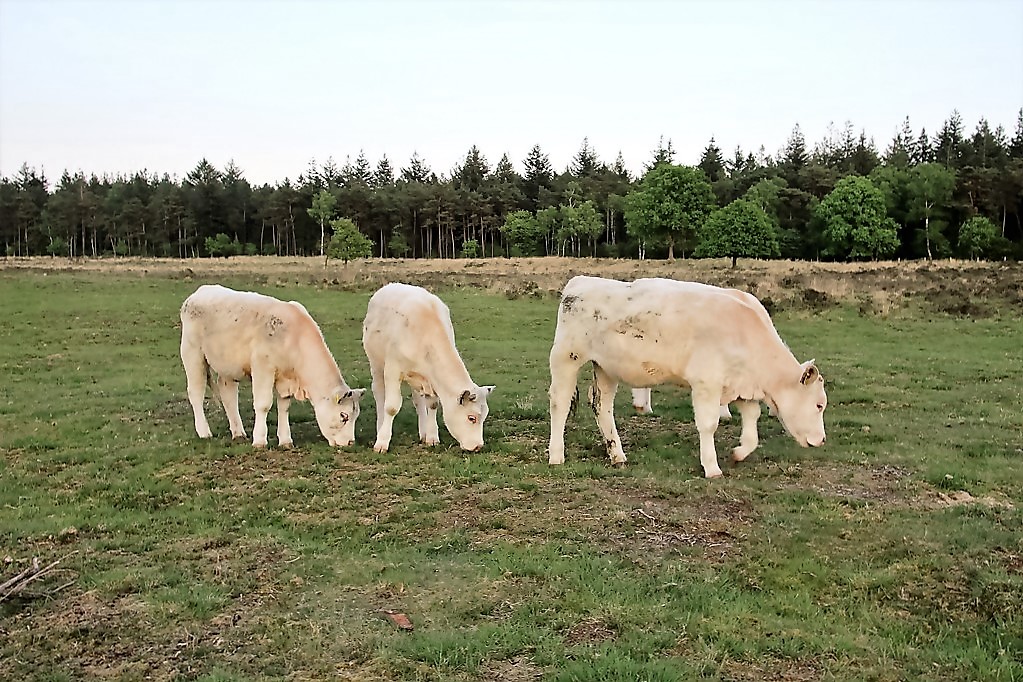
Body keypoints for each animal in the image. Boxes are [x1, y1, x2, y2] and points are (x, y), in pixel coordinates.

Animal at [180, 284, 365, 448]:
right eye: (343, 416)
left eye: (356, 416)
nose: (350, 442)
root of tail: (198, 293)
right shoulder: (263, 368)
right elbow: (263, 404)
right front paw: (260, 441)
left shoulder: (286, 379)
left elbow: (284, 407)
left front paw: (285, 441)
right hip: (192, 353)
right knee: (196, 392)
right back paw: (204, 432)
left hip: (228, 365)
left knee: (228, 393)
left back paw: (238, 433)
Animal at [362, 282, 495, 452]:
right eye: (471, 418)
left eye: (484, 416)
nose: (478, 446)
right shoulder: (393, 369)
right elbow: (391, 407)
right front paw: (382, 443)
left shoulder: (431, 379)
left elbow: (432, 404)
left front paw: (431, 437)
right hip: (376, 363)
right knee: (379, 393)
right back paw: (379, 427)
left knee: (418, 400)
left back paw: (423, 431)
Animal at [548, 276, 827, 478]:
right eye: (819, 405)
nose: (822, 441)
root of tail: (580, 281)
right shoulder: (707, 383)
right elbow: (709, 424)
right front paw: (712, 468)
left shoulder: (741, 385)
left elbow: (752, 422)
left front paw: (738, 453)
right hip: (566, 357)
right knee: (560, 403)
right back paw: (556, 455)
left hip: (606, 368)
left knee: (602, 405)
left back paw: (617, 455)